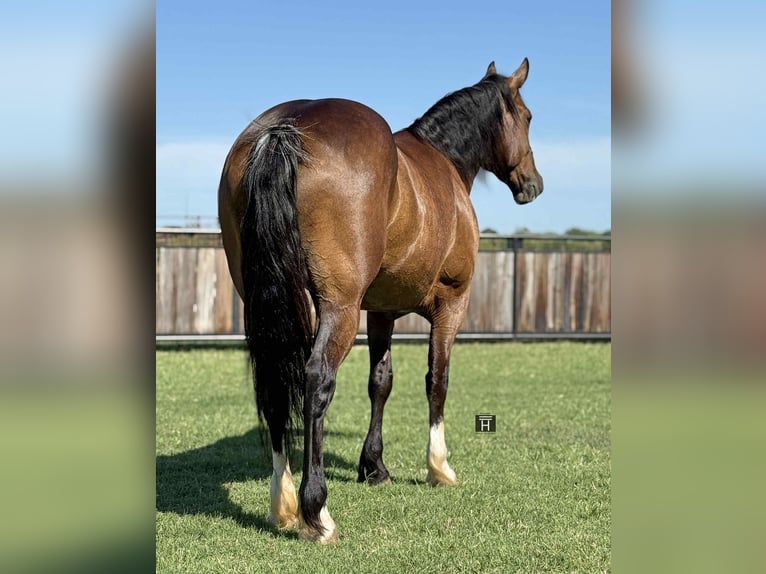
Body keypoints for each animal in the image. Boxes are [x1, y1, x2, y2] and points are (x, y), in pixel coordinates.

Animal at [218, 59, 543, 543]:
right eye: (527, 117)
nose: (532, 184)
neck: (442, 160)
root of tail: (284, 129)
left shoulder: (382, 311)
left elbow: (381, 382)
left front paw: (374, 467)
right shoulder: (452, 304)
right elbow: (437, 379)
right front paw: (439, 467)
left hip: (264, 306)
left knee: (274, 382)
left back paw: (284, 501)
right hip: (339, 308)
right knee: (316, 379)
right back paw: (316, 512)